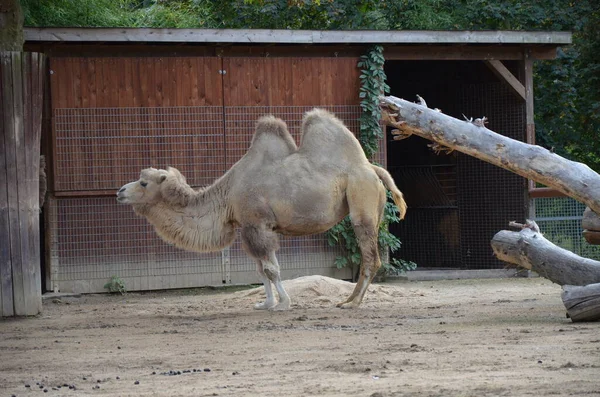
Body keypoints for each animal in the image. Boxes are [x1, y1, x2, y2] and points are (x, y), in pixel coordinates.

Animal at [117, 108, 408, 310]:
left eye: (143, 182)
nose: (120, 192)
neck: (227, 196)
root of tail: (372, 169)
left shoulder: (257, 224)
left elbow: (271, 269)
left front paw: (283, 304)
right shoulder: (250, 227)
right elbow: (262, 269)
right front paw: (266, 303)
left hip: (362, 199)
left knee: (370, 255)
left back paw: (353, 303)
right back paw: (348, 300)